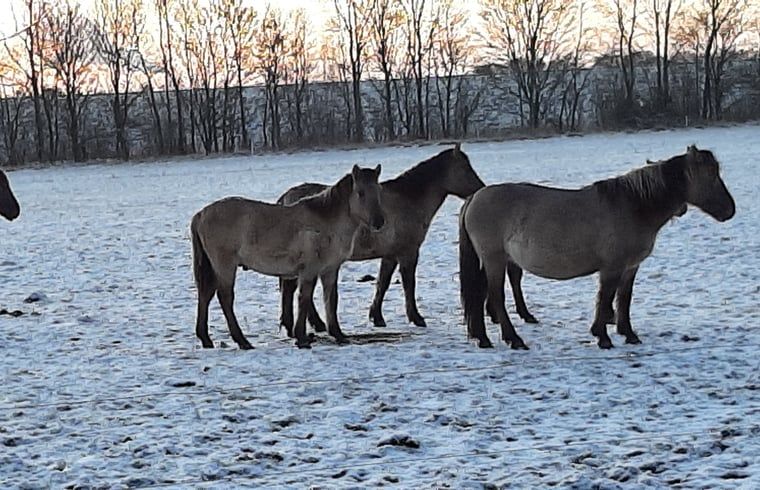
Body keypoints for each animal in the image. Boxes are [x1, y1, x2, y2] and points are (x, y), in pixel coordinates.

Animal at [191, 165, 385, 350]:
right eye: (360, 192)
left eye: (378, 191)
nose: (379, 222)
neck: (325, 222)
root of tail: (201, 214)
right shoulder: (309, 271)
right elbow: (304, 300)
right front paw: (302, 338)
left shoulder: (330, 270)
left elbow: (331, 299)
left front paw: (338, 335)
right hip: (225, 265)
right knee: (225, 298)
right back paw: (243, 341)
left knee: (205, 294)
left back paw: (206, 339)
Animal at [277, 144, 485, 334]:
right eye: (465, 168)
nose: (480, 190)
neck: (407, 200)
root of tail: (287, 197)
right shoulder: (408, 253)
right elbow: (409, 284)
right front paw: (416, 317)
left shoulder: (390, 255)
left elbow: (382, 283)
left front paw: (376, 317)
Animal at [460, 145, 735, 349]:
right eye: (711, 176)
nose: (729, 210)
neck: (633, 205)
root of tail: (475, 197)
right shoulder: (612, 268)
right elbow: (606, 299)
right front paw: (603, 337)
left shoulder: (630, 267)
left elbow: (624, 299)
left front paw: (628, 334)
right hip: (495, 260)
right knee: (496, 297)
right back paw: (514, 339)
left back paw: (483, 338)